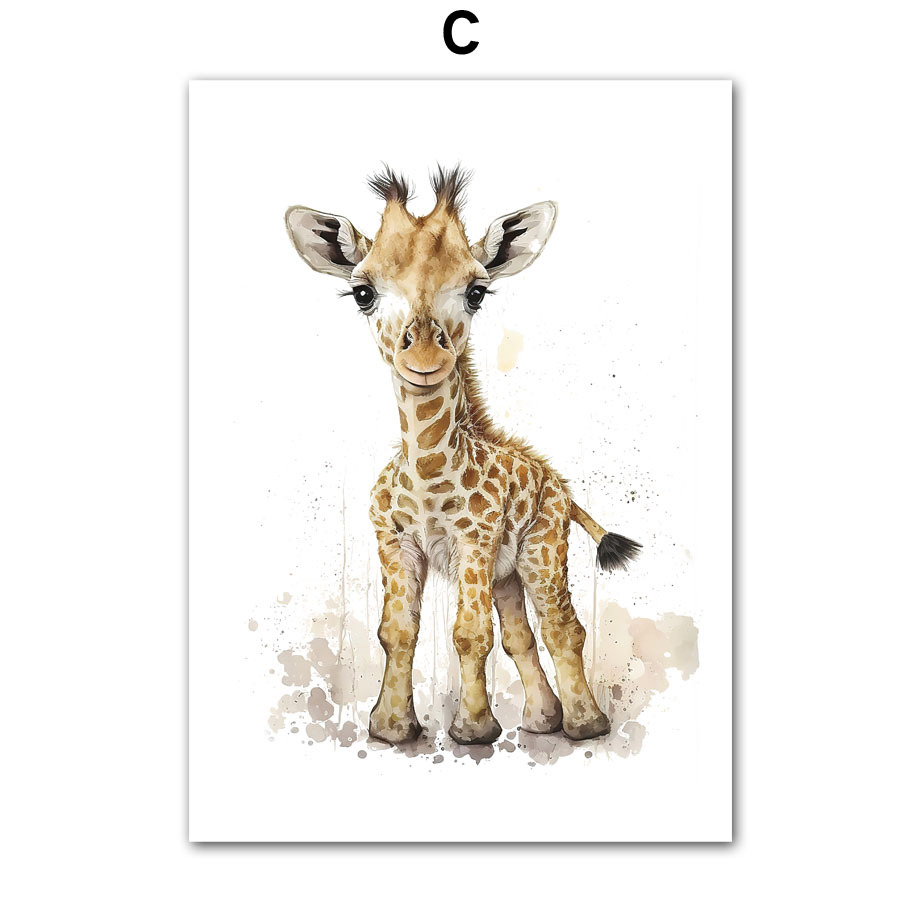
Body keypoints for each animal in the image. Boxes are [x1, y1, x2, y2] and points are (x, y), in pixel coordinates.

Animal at [285, 166, 641, 745]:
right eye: (363, 292)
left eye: (476, 292)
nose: (427, 357)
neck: (428, 468)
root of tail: (558, 483)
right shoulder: (395, 541)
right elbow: (397, 631)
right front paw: (391, 727)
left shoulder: (474, 538)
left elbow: (469, 632)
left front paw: (473, 730)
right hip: (507, 571)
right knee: (521, 633)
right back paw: (542, 721)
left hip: (541, 550)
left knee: (562, 627)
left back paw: (586, 724)